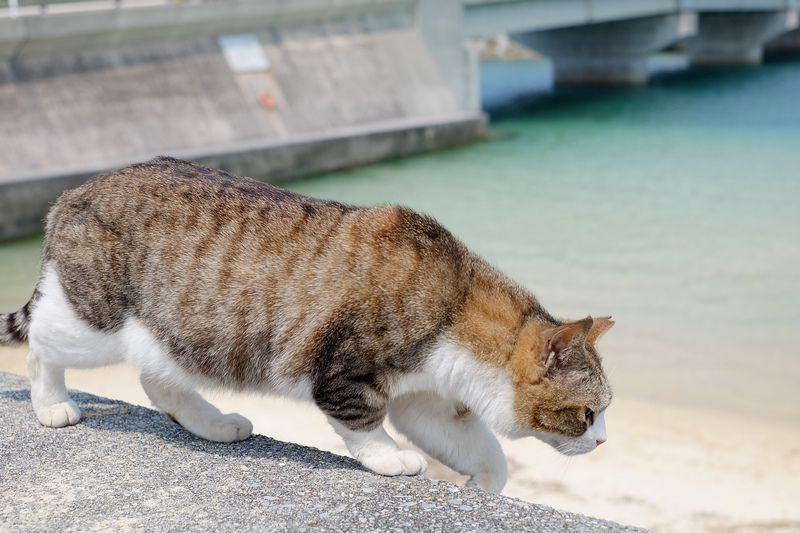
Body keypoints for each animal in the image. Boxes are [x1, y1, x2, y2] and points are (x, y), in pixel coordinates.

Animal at [0, 156, 612, 492]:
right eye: (589, 414)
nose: (605, 441)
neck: (456, 303)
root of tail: (70, 194)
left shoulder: (428, 399)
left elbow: (483, 449)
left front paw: (483, 481)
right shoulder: (345, 372)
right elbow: (363, 424)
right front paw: (389, 458)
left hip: (182, 335)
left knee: (159, 380)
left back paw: (214, 424)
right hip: (92, 322)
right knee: (40, 347)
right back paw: (52, 404)